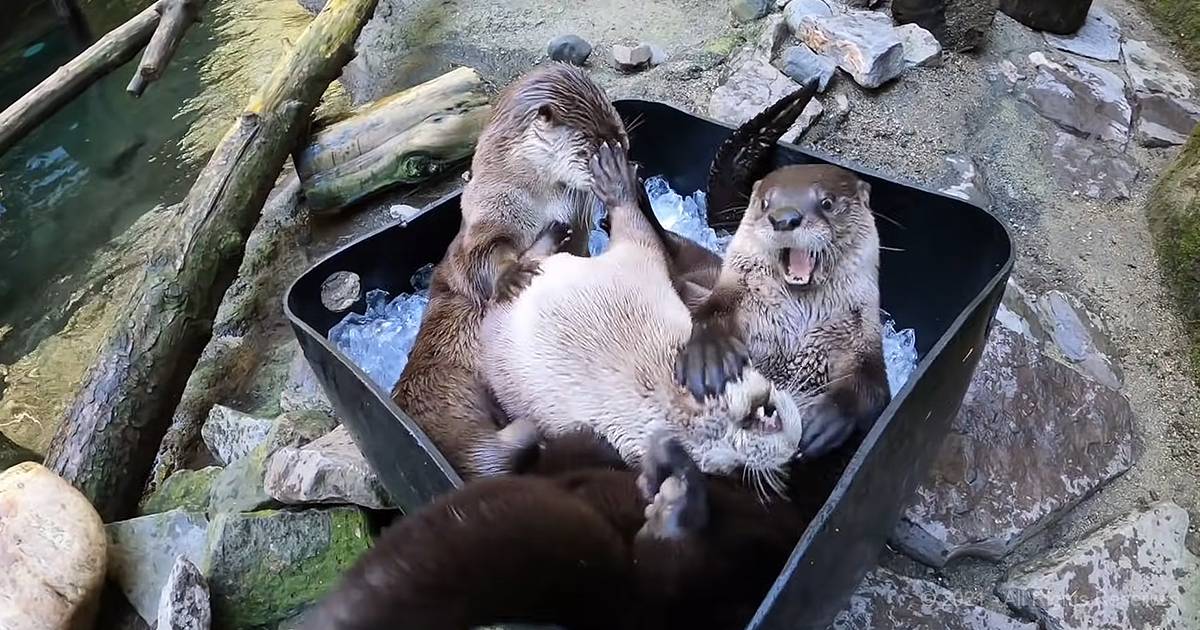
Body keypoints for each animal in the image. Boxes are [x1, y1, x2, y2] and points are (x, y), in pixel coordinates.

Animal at [391, 63, 628, 478]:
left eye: (617, 125)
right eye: (593, 143)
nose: (625, 149)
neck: (539, 201)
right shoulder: (487, 216)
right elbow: (482, 257)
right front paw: (512, 275)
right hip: (447, 387)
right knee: (488, 453)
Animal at [677, 163, 890, 459]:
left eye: (827, 202)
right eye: (766, 203)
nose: (783, 218)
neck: (795, 332)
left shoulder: (862, 334)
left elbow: (873, 388)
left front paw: (828, 419)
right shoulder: (728, 299)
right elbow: (708, 316)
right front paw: (709, 356)